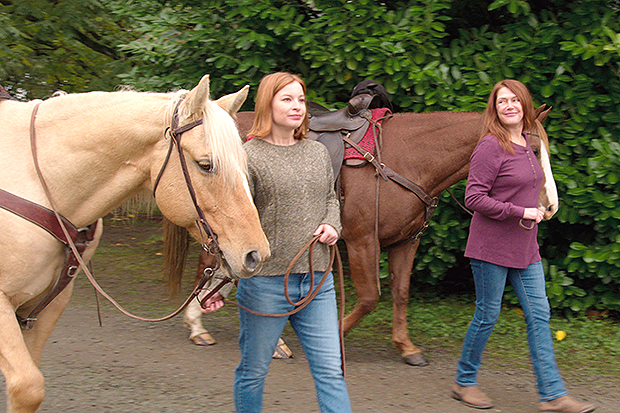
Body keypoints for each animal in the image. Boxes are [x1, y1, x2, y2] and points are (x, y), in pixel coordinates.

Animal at [183, 105, 556, 364]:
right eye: (534, 150)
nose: (550, 206)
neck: (406, 159)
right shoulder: (363, 241)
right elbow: (369, 297)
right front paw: (334, 335)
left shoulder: (406, 242)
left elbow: (400, 293)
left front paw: (406, 346)